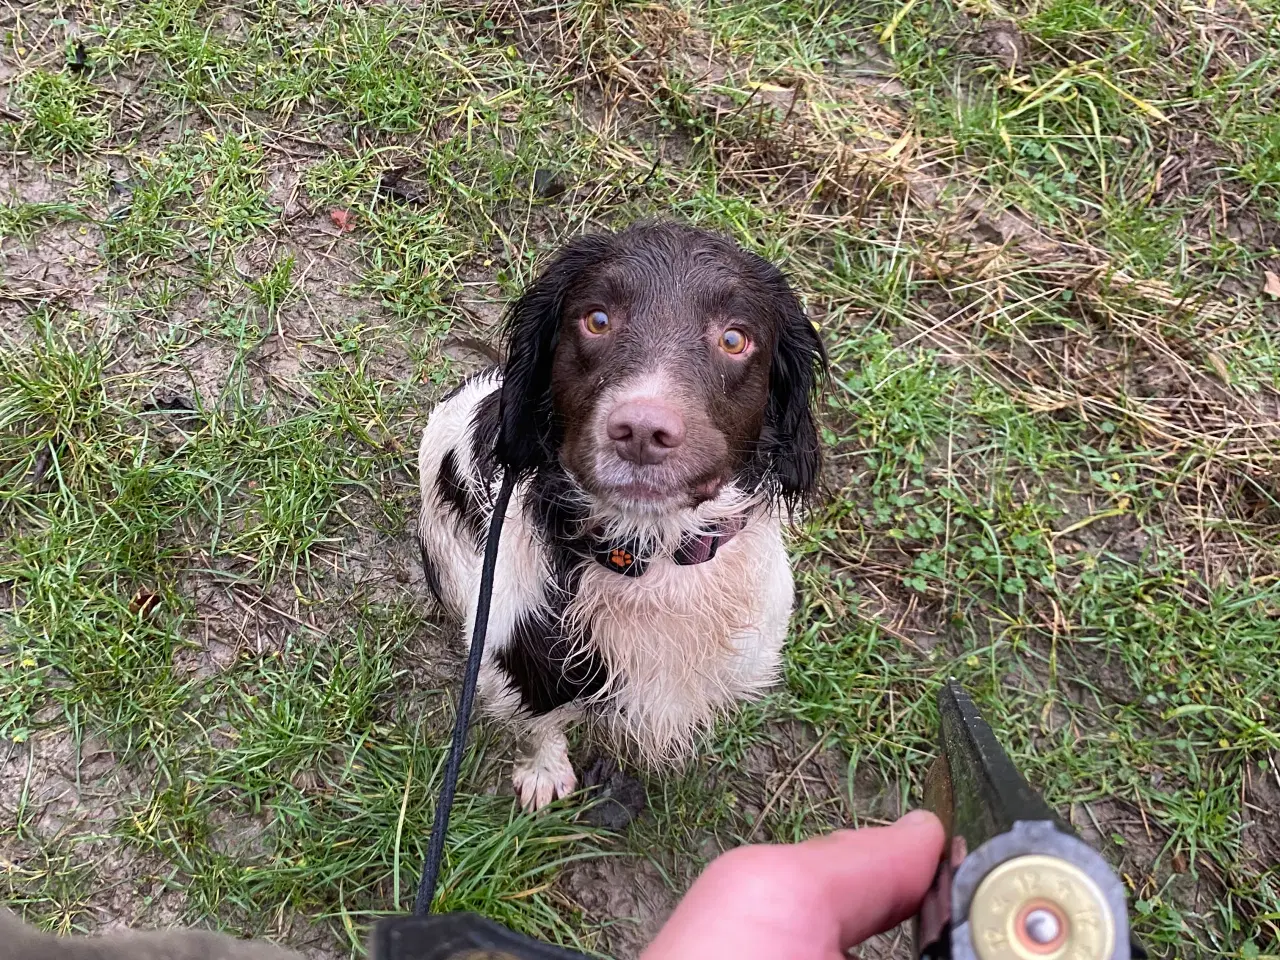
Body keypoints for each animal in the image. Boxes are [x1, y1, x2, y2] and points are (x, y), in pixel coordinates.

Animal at [414, 220, 824, 814]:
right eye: (598, 319)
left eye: (734, 338)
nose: (642, 430)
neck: (652, 555)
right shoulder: (518, 659)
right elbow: (540, 725)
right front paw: (544, 772)